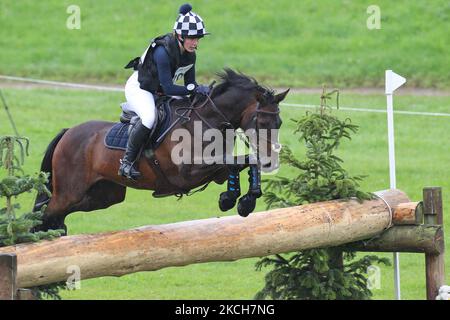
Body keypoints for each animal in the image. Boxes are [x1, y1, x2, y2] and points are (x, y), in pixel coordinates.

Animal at [34, 69, 288, 231]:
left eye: (279, 123)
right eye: (261, 122)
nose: (271, 162)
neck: (207, 119)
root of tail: (68, 132)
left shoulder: (218, 171)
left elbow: (243, 162)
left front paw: (241, 200)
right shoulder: (187, 173)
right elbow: (237, 161)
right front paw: (233, 199)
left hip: (104, 196)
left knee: (57, 215)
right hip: (69, 192)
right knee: (44, 213)